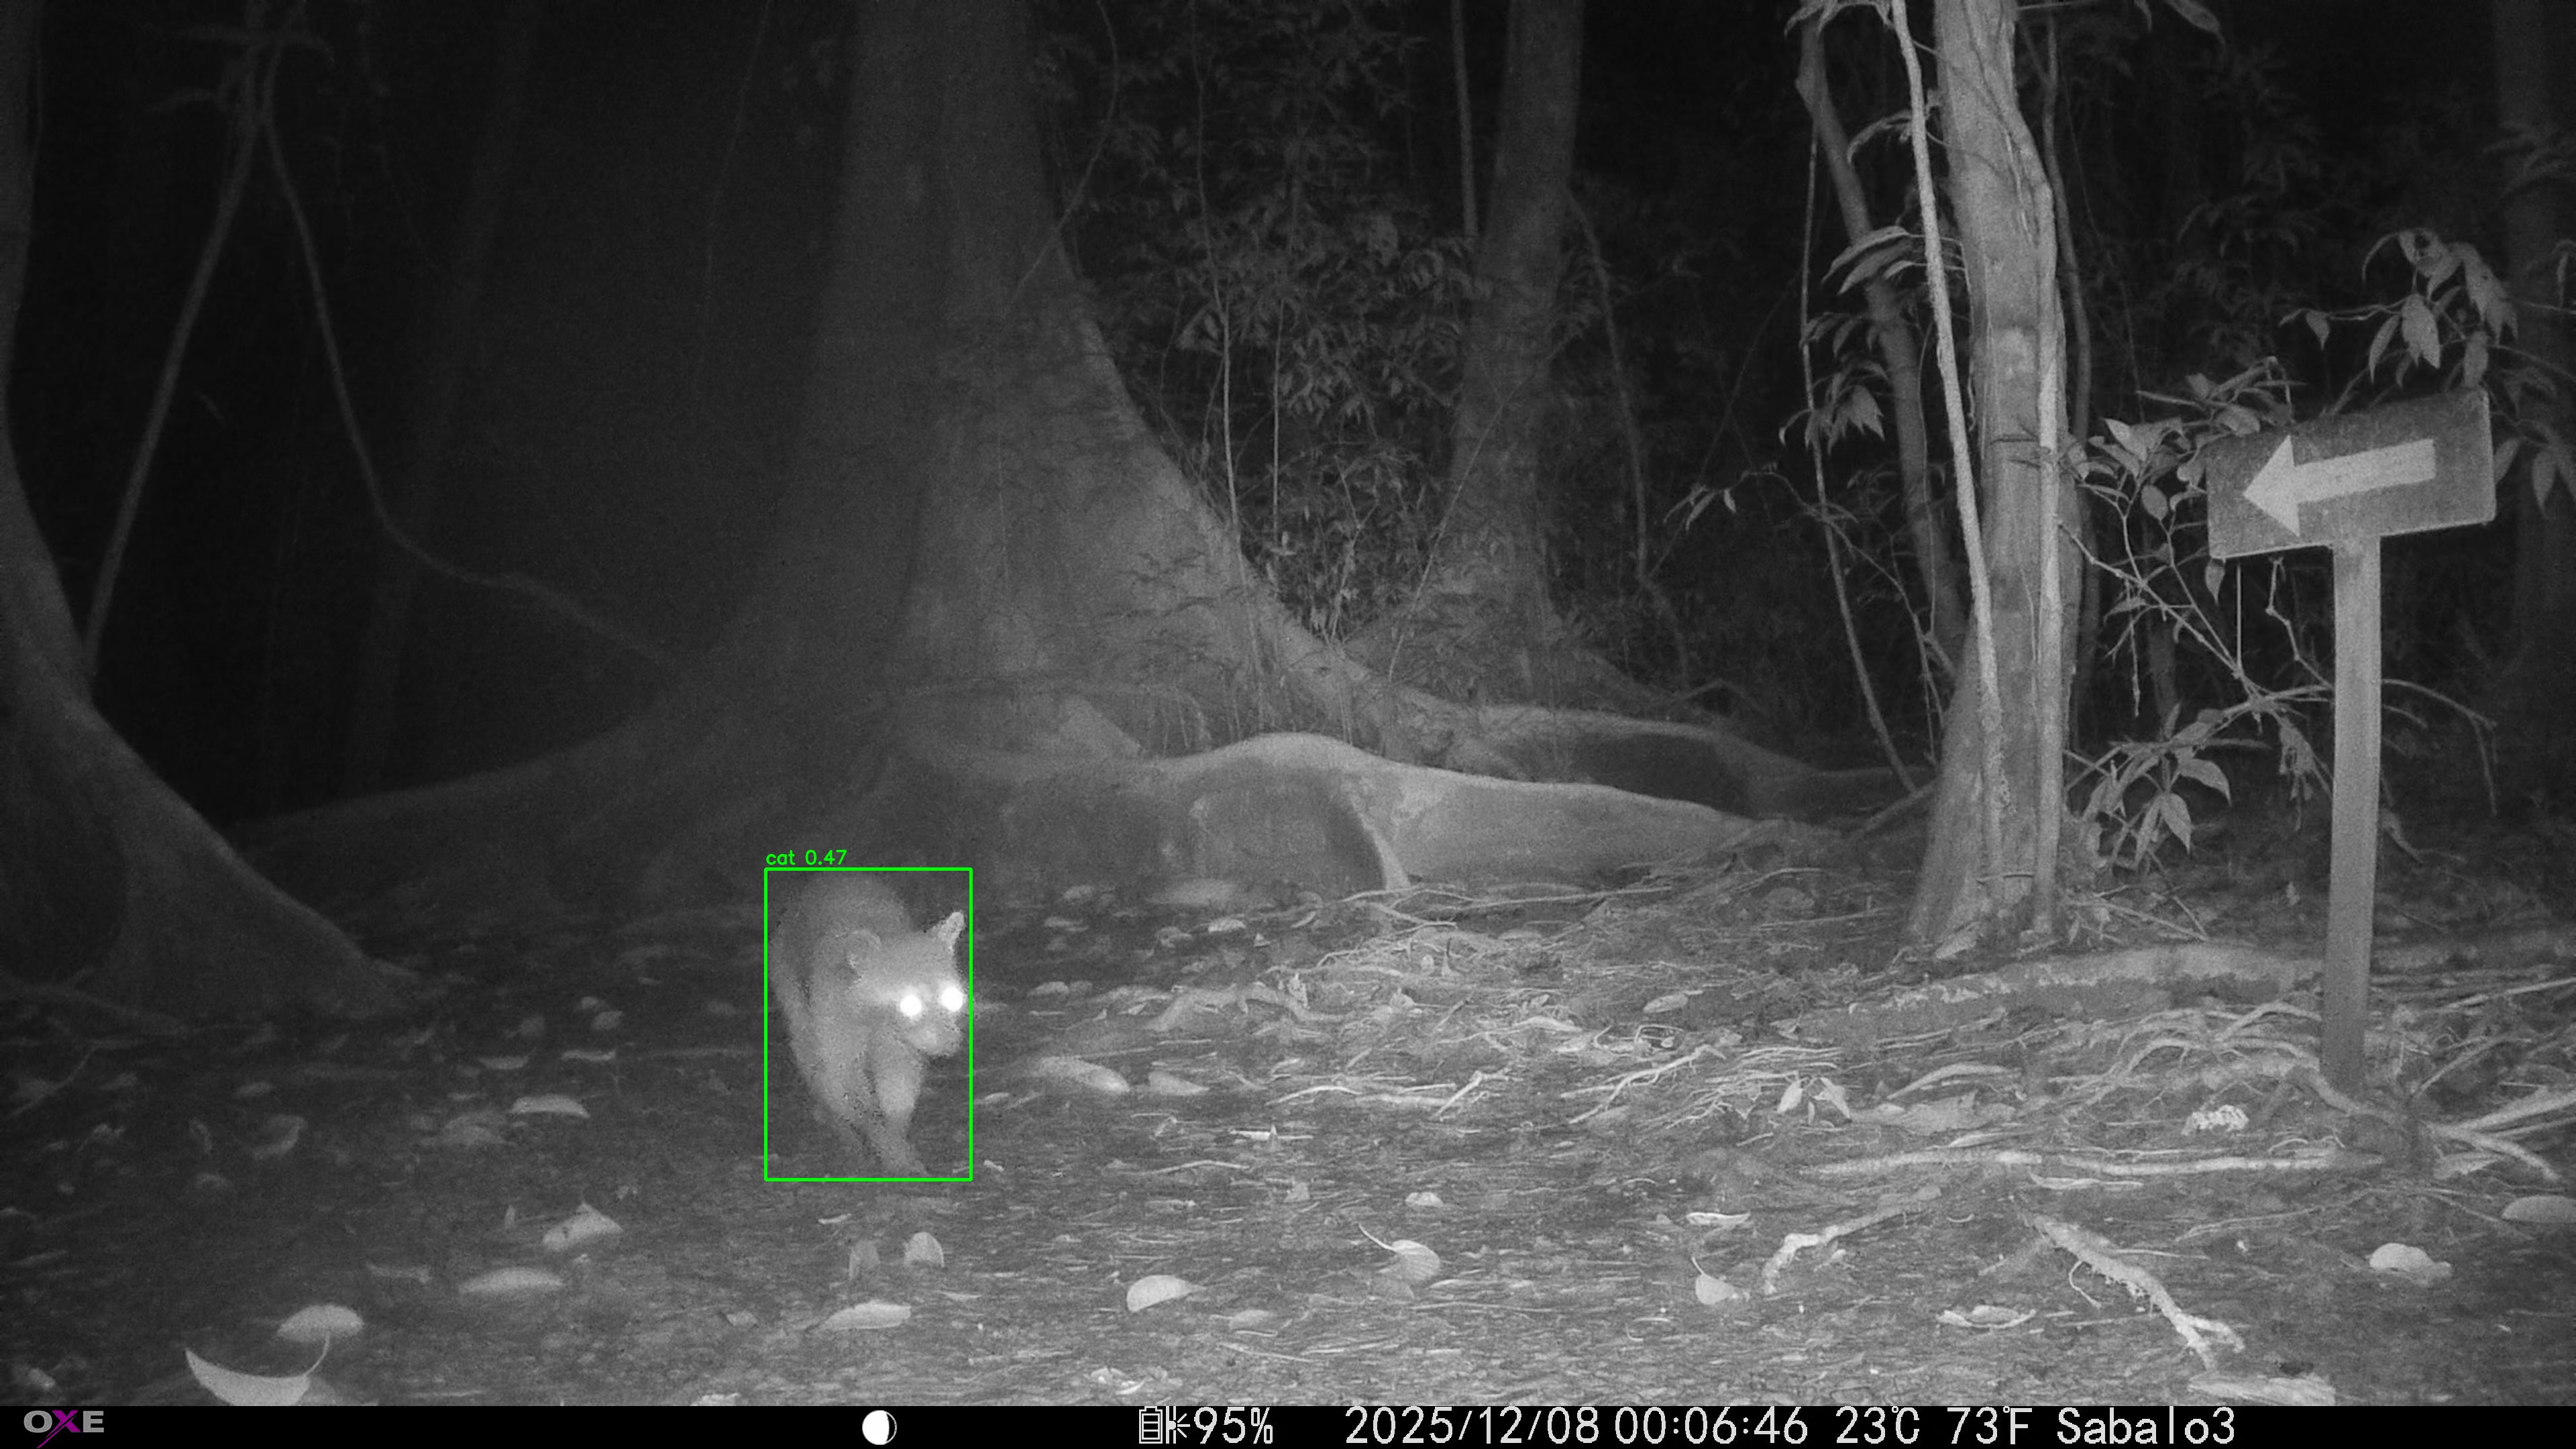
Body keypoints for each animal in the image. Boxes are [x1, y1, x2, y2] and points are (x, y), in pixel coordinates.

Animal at [768, 872, 969, 1176]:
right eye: (910, 1004)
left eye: (952, 998)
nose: (951, 1043)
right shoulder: (835, 1020)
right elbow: (845, 1088)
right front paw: (880, 1139)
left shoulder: (900, 1044)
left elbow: (899, 1090)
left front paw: (897, 1139)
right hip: (790, 983)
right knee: (813, 1062)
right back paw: (846, 1135)